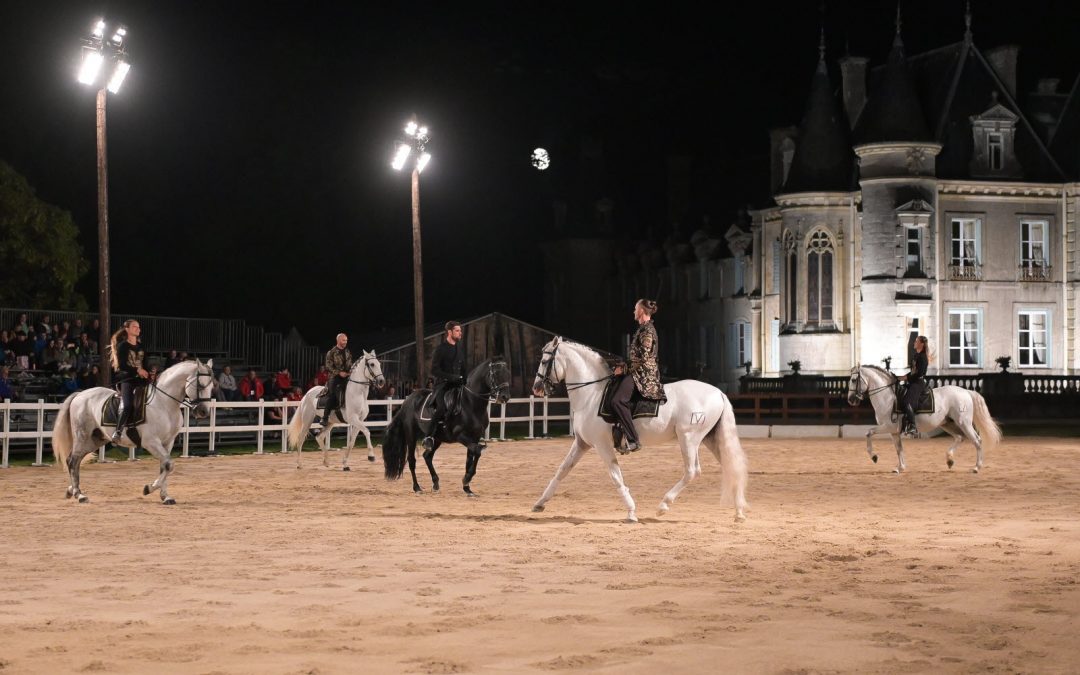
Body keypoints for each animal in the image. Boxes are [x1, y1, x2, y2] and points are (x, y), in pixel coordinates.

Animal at [51, 360, 216, 503]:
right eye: (200, 385)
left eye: (211, 386)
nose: (203, 412)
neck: (164, 403)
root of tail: (79, 395)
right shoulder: (151, 442)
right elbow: (169, 464)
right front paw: (148, 488)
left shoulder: (168, 442)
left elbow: (165, 466)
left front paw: (165, 497)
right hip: (82, 436)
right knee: (73, 461)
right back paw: (79, 495)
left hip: (95, 439)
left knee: (75, 460)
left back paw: (71, 490)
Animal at [384, 358, 509, 494]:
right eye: (495, 374)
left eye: (507, 373)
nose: (505, 397)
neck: (471, 404)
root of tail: (407, 401)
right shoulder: (460, 436)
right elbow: (477, 451)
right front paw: (466, 479)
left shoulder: (474, 438)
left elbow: (471, 457)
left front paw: (467, 487)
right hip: (411, 435)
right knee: (412, 460)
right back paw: (417, 488)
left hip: (437, 439)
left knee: (427, 456)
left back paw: (435, 483)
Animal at [529, 334, 747, 520]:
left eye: (545, 361)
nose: (536, 388)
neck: (591, 394)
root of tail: (718, 393)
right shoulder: (582, 443)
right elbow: (562, 471)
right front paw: (539, 503)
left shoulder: (602, 445)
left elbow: (616, 477)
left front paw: (631, 511)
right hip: (710, 438)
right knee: (731, 466)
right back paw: (739, 512)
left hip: (688, 438)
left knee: (692, 471)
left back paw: (663, 505)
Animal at [842, 362, 1002, 473]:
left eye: (854, 380)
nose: (851, 400)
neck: (887, 396)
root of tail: (966, 392)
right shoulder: (894, 432)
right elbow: (899, 449)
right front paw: (900, 468)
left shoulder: (888, 426)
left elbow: (868, 432)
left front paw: (874, 457)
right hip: (947, 423)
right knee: (959, 437)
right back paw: (950, 460)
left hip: (964, 423)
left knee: (977, 440)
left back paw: (976, 467)